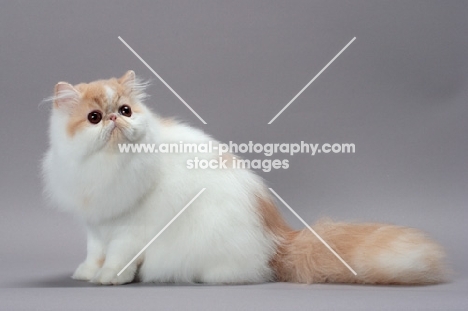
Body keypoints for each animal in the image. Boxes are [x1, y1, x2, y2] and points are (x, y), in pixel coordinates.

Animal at [42, 72, 448, 286]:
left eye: (125, 111)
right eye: (95, 117)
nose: (114, 119)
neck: (106, 167)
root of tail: (278, 240)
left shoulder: (130, 231)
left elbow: (117, 258)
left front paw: (110, 277)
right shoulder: (97, 227)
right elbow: (94, 253)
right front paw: (86, 273)